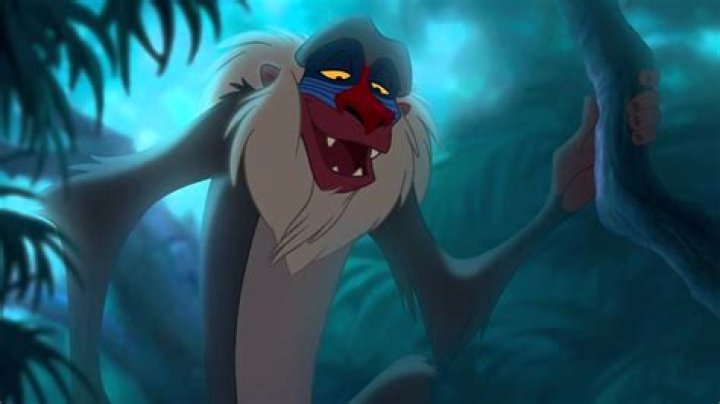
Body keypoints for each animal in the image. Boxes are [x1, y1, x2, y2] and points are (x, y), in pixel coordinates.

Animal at [46, 17, 658, 404]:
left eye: (382, 89)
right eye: (338, 77)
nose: (369, 113)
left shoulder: (399, 207)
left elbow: (452, 308)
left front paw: (580, 167)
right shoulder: (219, 132)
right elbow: (95, 206)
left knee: (417, 371)